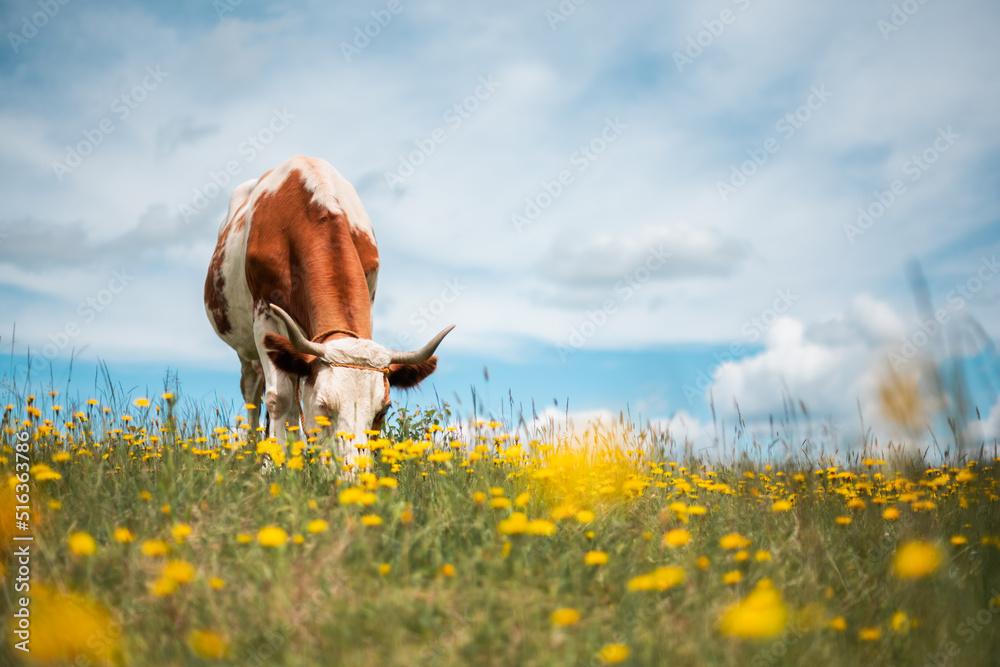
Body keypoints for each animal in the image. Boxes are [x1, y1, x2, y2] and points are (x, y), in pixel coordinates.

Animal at [205, 155, 456, 454]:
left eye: (382, 411)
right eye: (323, 406)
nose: (352, 466)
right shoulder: (264, 315)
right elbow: (280, 398)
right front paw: (273, 461)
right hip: (245, 348)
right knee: (253, 392)